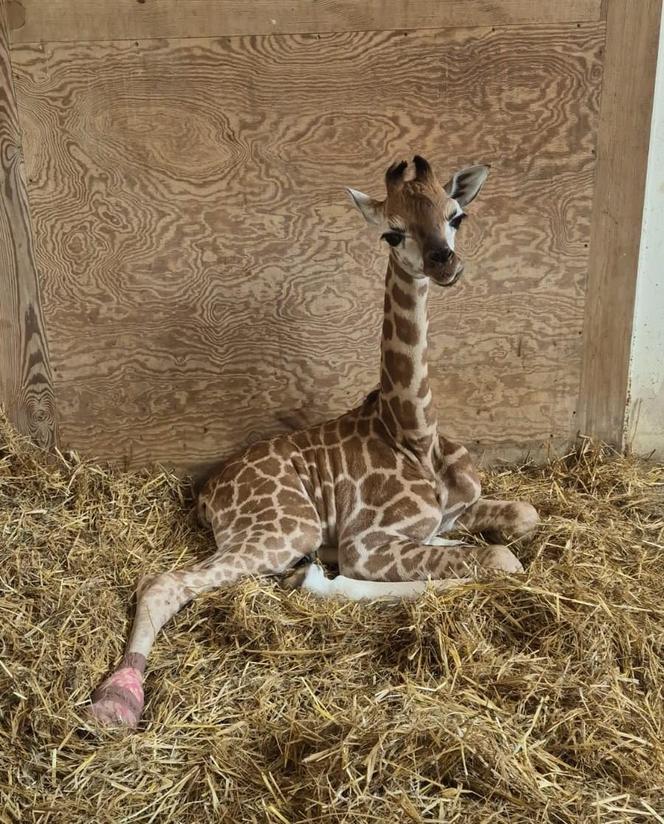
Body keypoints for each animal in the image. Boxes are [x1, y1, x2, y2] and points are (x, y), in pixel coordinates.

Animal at [87, 154, 540, 728]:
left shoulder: (458, 509)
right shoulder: (367, 543)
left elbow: (525, 514)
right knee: (163, 583)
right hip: (287, 527)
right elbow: (502, 560)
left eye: (456, 215)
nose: (444, 264)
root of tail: (208, 492)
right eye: (393, 232)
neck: (414, 433)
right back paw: (118, 697)